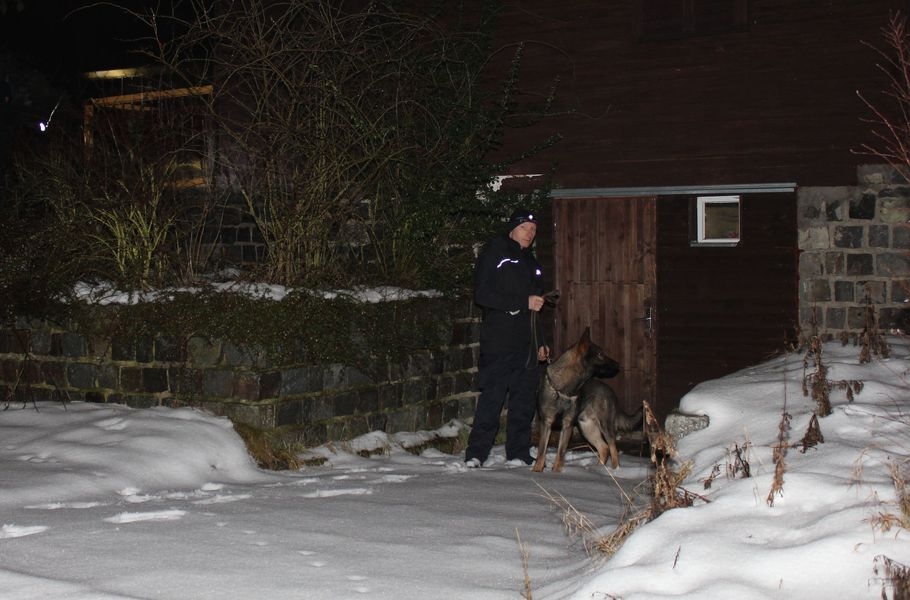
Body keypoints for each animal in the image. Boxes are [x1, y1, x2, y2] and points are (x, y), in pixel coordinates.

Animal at [532, 328, 636, 474]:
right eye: (600, 354)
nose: (618, 364)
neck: (564, 389)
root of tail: (610, 391)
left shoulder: (567, 425)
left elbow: (561, 452)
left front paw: (556, 472)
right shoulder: (546, 423)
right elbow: (542, 451)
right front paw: (537, 470)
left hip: (604, 426)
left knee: (612, 448)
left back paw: (615, 471)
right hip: (587, 427)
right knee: (604, 448)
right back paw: (598, 469)